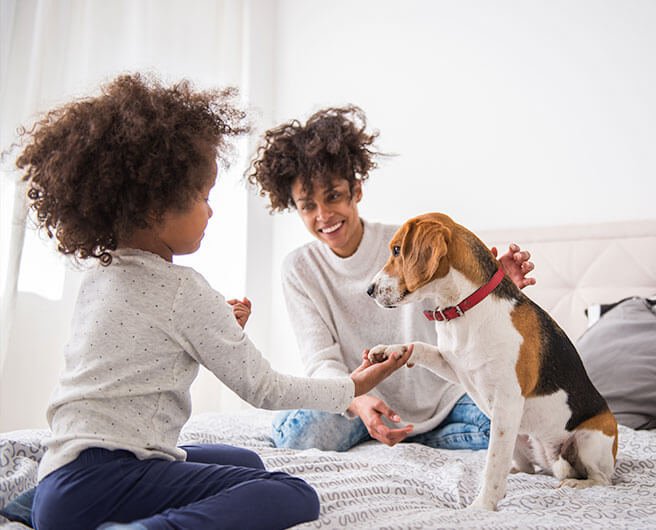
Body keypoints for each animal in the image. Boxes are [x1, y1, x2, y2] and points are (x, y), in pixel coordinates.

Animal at [366, 212, 616, 510]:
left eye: (396, 250)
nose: (369, 290)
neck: (463, 308)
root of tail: (551, 458)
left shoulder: (506, 403)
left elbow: (493, 464)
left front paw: (482, 507)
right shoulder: (454, 366)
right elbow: (420, 347)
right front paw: (390, 350)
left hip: (590, 437)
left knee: (602, 479)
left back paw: (577, 483)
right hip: (520, 439)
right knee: (527, 469)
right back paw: (519, 472)